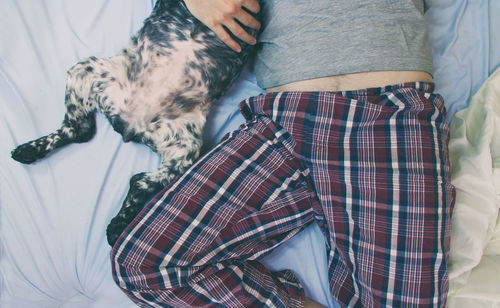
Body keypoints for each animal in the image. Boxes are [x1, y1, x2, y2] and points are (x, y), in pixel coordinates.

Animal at [11, 0, 262, 245]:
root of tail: (129, 123)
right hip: (87, 71)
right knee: (80, 131)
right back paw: (29, 151)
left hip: (185, 146)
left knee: (135, 177)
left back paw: (116, 226)